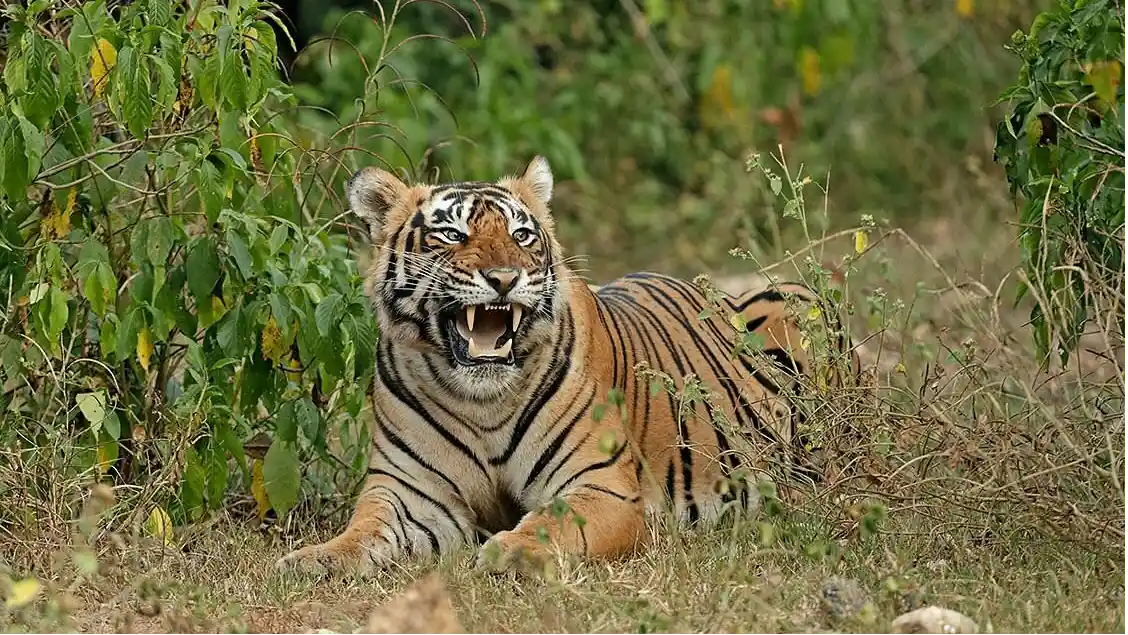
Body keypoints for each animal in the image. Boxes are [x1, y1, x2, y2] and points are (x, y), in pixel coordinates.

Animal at [275, 156, 860, 577]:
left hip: (792, 300)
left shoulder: (600, 485)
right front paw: (312, 559)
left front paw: (509, 551)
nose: (504, 278)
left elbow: (553, 521)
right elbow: (363, 532)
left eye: (521, 235)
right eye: (452, 234)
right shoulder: (407, 493)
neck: (481, 400)